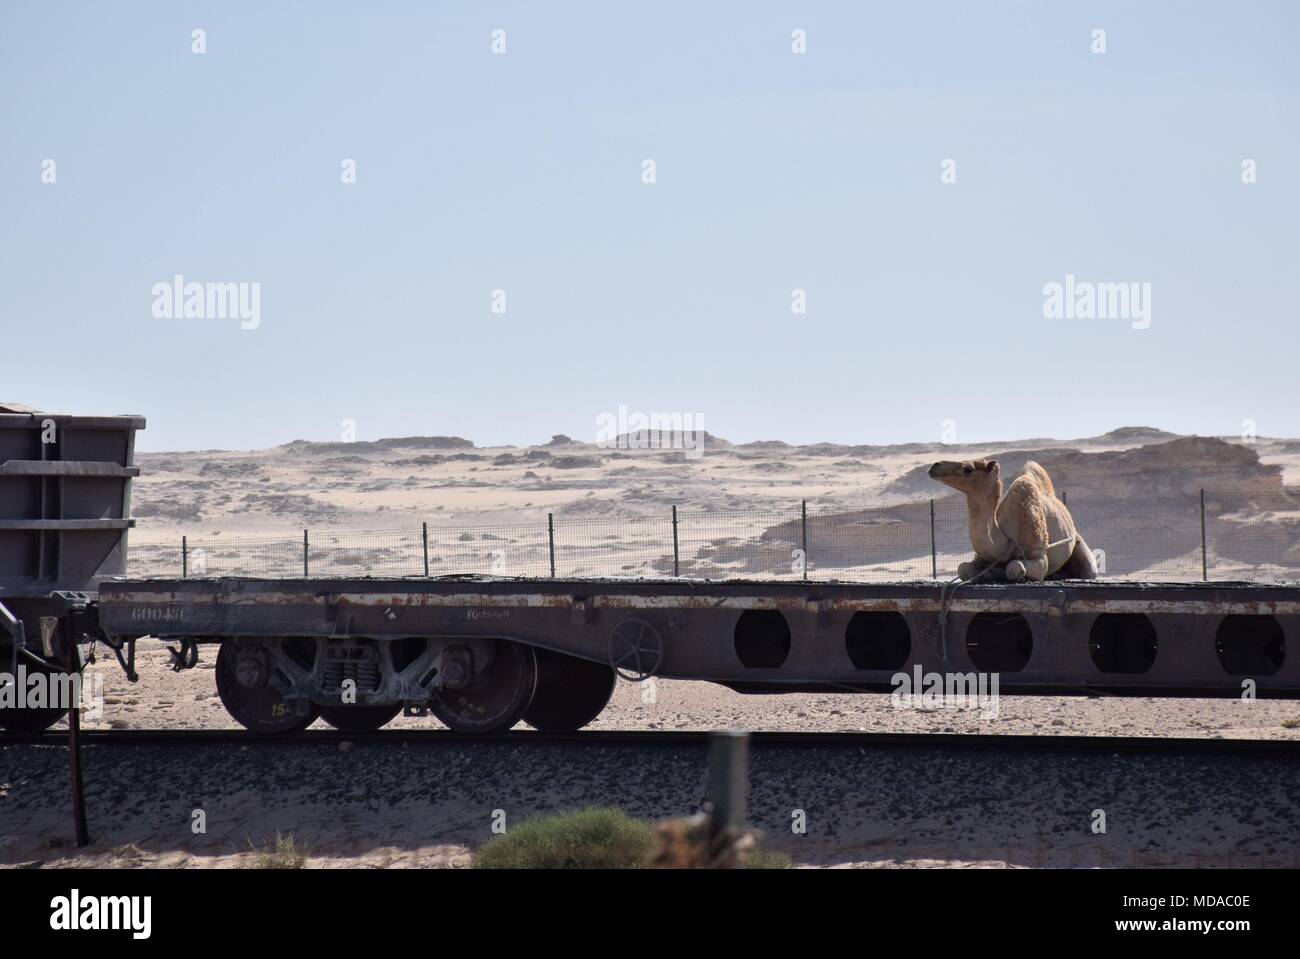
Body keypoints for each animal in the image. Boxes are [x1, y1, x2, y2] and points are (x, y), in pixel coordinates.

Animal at [925, 457, 1097, 579]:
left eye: (968, 469)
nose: (935, 465)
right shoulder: (984, 557)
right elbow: (963, 569)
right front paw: (988, 573)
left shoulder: (1039, 555)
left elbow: (1014, 567)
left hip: (1078, 543)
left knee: (1090, 571)